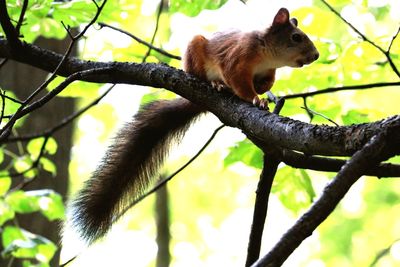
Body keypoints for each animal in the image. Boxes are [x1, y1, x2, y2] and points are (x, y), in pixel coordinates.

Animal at [69, 6, 318, 245]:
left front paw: (263, 92)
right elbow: (238, 81)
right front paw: (254, 98)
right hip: (195, 52)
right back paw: (217, 84)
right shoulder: (238, 57)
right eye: (297, 37)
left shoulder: (267, 71)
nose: (316, 55)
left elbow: (266, 82)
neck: (268, 56)